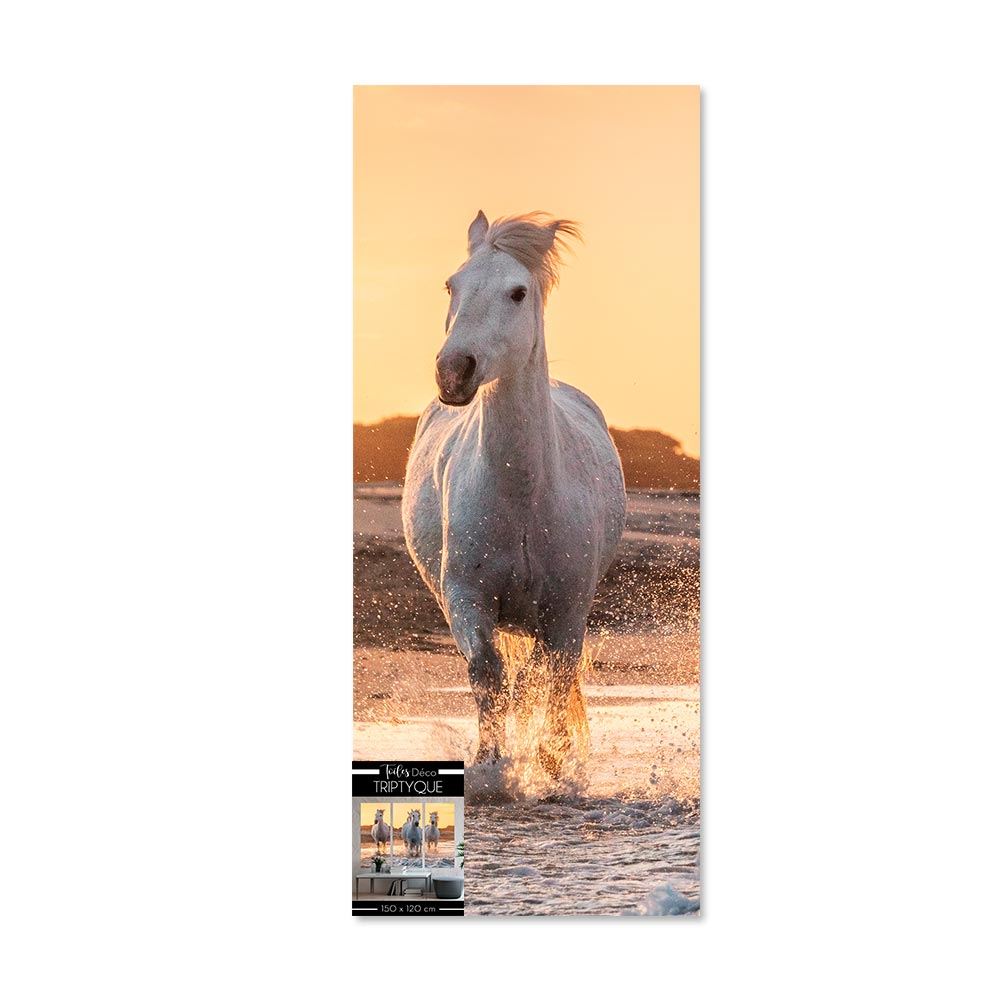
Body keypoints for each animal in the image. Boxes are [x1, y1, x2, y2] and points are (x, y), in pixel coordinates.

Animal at [402, 211, 626, 777]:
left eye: (518, 292)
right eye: (451, 285)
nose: (452, 372)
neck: (523, 497)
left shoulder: (567, 610)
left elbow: (542, 679)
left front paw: (549, 763)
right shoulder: (466, 598)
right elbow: (490, 675)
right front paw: (493, 766)